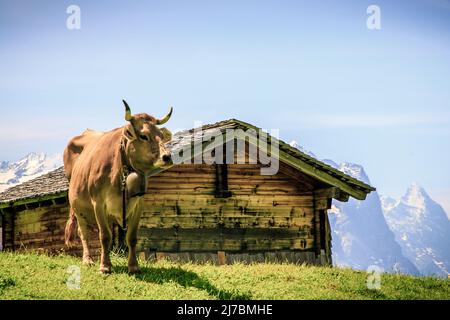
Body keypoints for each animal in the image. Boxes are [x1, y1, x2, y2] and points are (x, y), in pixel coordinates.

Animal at [64, 100, 173, 272]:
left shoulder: (138, 204)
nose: (167, 157)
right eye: (143, 136)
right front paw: (104, 266)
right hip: (78, 208)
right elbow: (104, 236)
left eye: (161, 136)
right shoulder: (98, 203)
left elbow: (132, 237)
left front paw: (133, 266)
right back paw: (88, 260)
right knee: (84, 233)